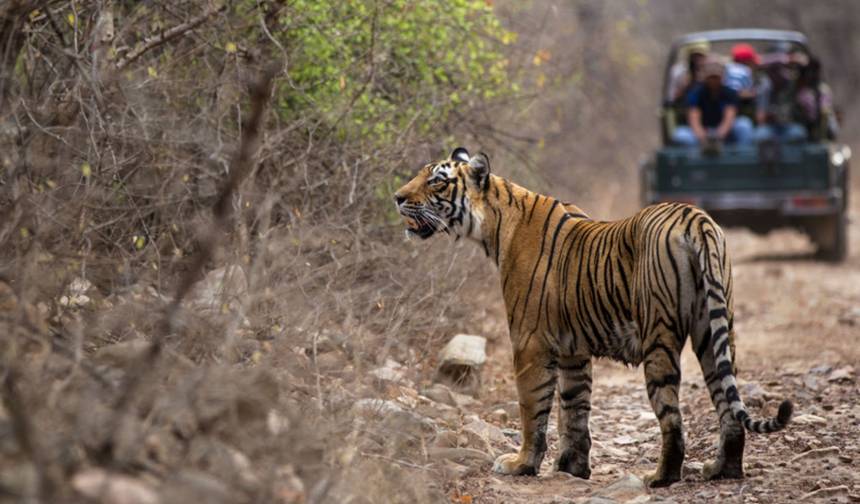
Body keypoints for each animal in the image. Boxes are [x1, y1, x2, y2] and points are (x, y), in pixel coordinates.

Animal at [393, 147, 793, 487]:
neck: (493, 226)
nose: (397, 197)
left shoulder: (529, 342)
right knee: (728, 406)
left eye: (437, 181)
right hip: (713, 331)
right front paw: (572, 467)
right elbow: (574, 409)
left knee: (672, 417)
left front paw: (521, 464)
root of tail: (695, 219)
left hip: (659, 338)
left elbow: (533, 409)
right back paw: (722, 470)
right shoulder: (573, 350)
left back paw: (661, 477)